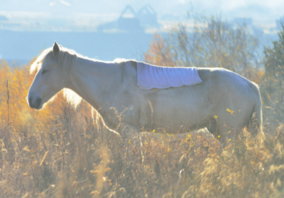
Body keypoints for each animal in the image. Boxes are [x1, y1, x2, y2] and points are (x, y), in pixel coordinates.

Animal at [27, 42, 262, 144]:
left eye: (45, 70)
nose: (32, 100)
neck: (111, 82)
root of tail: (249, 84)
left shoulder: (130, 131)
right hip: (220, 132)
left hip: (229, 133)